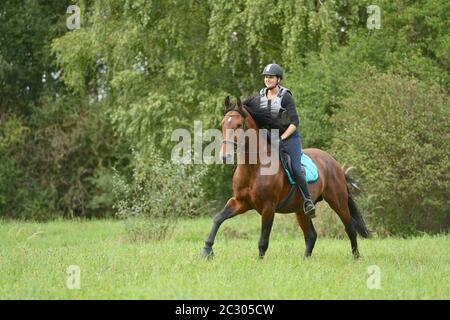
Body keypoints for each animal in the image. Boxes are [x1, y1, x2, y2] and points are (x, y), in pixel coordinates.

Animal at [200, 95, 370, 260]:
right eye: (223, 124)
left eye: (239, 125)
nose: (225, 156)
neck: (254, 168)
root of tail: (333, 161)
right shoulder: (240, 202)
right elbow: (218, 218)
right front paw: (206, 251)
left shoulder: (268, 207)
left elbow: (263, 240)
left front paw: (260, 262)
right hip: (301, 209)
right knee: (311, 234)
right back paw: (305, 260)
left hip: (338, 201)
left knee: (350, 228)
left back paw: (356, 257)